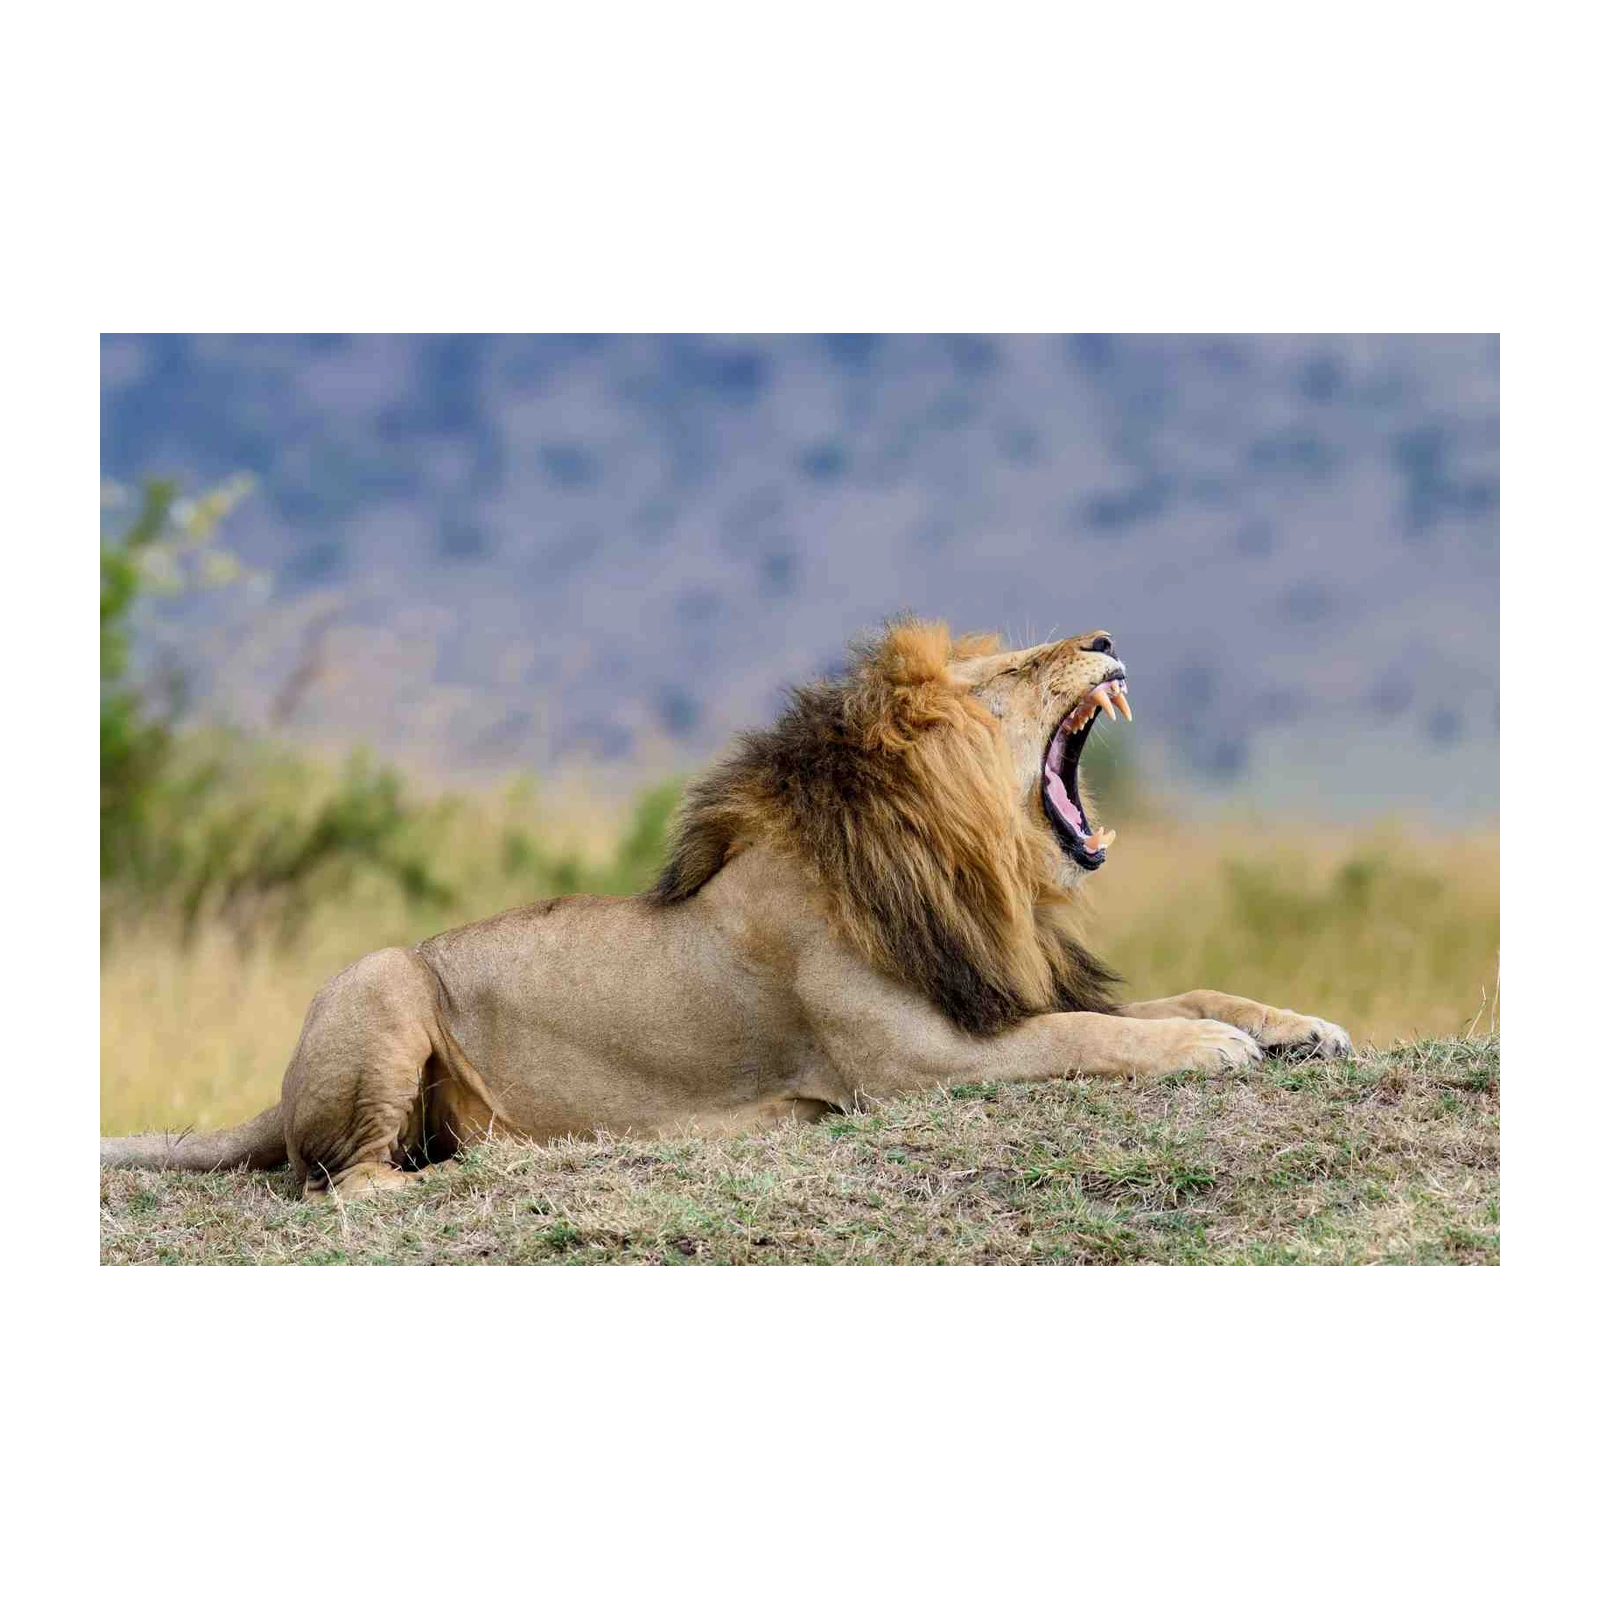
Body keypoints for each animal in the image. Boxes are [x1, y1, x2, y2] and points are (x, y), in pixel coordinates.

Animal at [97, 620, 1349, 1198]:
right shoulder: (917, 1063)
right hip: (382, 976)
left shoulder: (996, 990)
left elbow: (1171, 993)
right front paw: (1215, 1048)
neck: (969, 869)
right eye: (1008, 674)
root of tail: (277, 1092)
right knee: (342, 1180)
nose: (1098, 637)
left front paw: (1298, 1025)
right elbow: (1094, 1034)